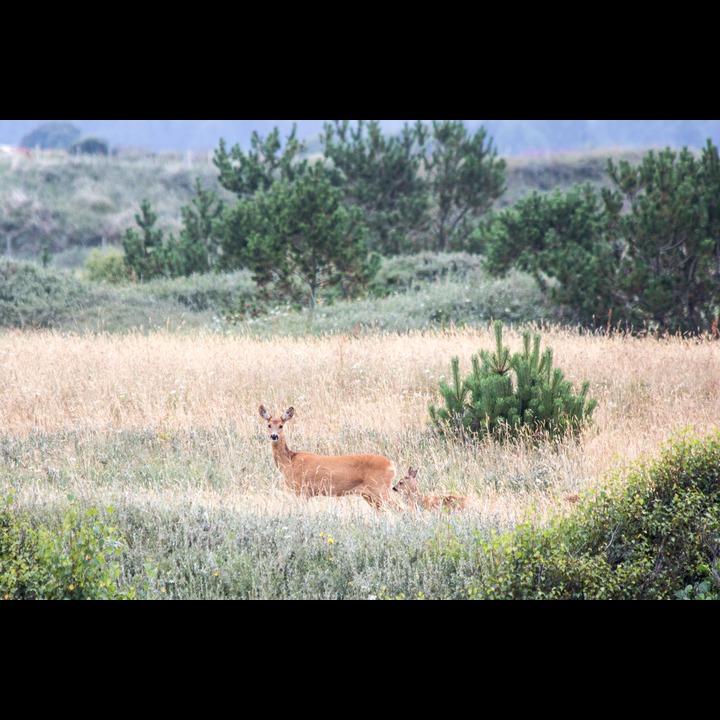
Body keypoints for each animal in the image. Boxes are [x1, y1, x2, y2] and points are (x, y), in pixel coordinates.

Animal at [258, 404, 396, 512]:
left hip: (380, 488)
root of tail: (392, 466)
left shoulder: (302, 489)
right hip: (370, 495)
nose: (274, 436)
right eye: (269, 425)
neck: (290, 461)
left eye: (281, 426)